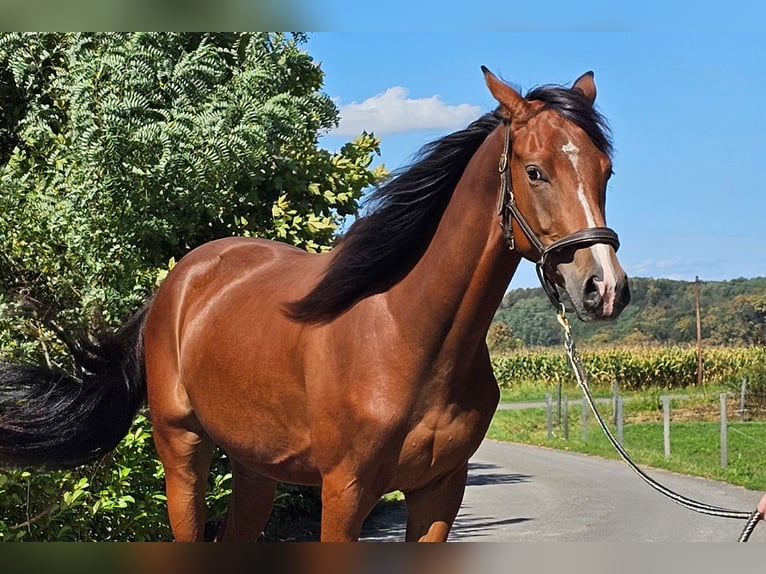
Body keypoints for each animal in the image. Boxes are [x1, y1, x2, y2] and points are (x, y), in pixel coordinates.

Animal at [0, 70, 632, 544]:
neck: (410, 335)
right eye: (535, 171)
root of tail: (173, 286)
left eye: (605, 170)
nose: (603, 287)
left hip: (254, 467)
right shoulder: (345, 491)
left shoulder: (439, 491)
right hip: (182, 451)